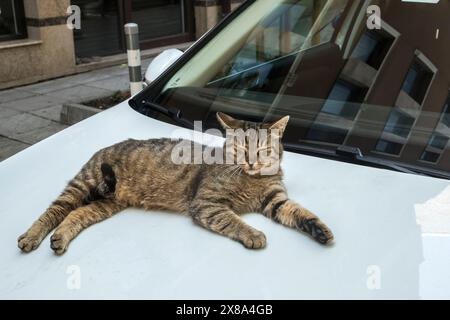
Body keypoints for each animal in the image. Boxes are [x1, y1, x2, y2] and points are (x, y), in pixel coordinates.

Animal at [17, 112, 332, 255]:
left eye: (263, 150)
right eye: (241, 149)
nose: (252, 162)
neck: (250, 179)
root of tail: (103, 148)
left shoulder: (276, 200)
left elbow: (301, 212)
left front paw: (320, 230)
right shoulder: (206, 204)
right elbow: (233, 221)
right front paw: (253, 233)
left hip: (106, 202)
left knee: (76, 214)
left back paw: (60, 238)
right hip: (84, 184)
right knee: (55, 210)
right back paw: (31, 236)